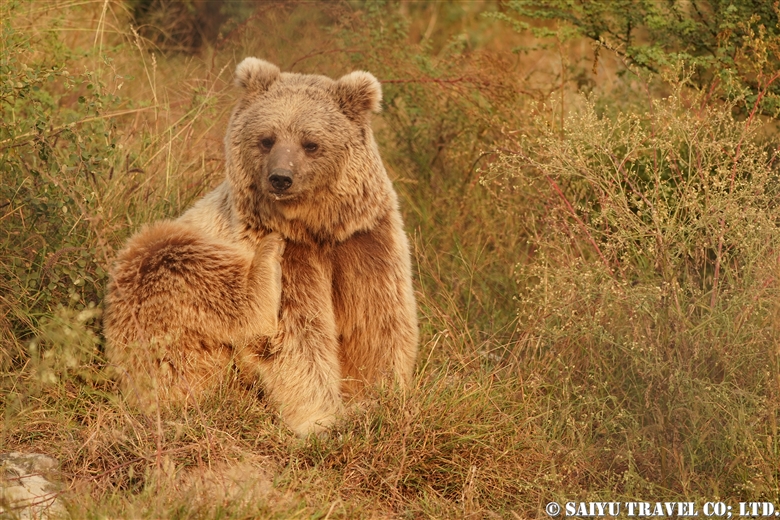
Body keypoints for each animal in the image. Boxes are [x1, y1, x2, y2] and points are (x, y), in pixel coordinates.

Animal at [106, 59, 420, 436]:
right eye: (266, 139)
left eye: (310, 143)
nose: (281, 178)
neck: (314, 229)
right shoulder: (287, 252)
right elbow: (295, 337)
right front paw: (322, 418)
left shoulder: (363, 241)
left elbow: (378, 324)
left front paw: (381, 396)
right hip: (157, 282)